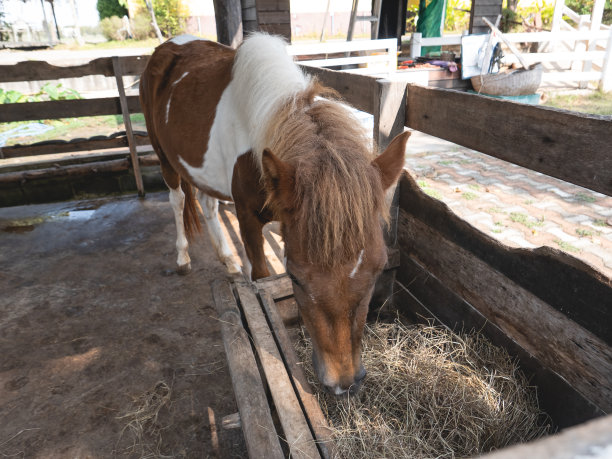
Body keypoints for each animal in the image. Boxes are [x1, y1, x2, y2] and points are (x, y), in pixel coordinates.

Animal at [142, 33, 412, 396]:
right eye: (294, 277)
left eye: (379, 268)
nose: (344, 383)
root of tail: (169, 46)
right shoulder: (247, 218)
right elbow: (262, 276)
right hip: (165, 159)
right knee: (177, 200)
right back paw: (182, 257)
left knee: (207, 203)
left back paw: (228, 261)